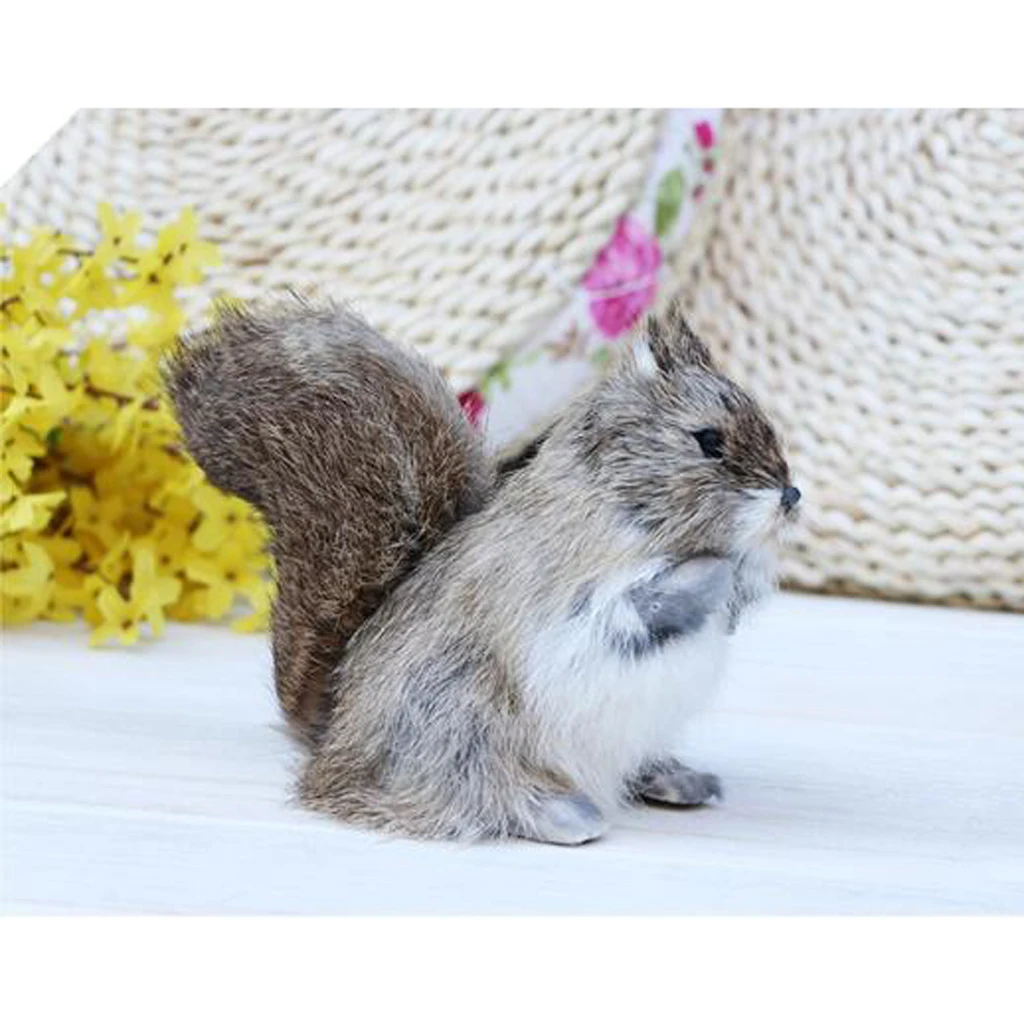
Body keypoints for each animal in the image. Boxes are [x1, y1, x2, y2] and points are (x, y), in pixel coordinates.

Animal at [164, 296, 800, 844]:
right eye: (708, 440)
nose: (791, 497)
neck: (620, 506)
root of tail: (332, 741)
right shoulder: (560, 594)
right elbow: (643, 601)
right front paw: (715, 574)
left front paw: (739, 587)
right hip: (459, 723)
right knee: (470, 789)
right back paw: (559, 813)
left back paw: (673, 779)